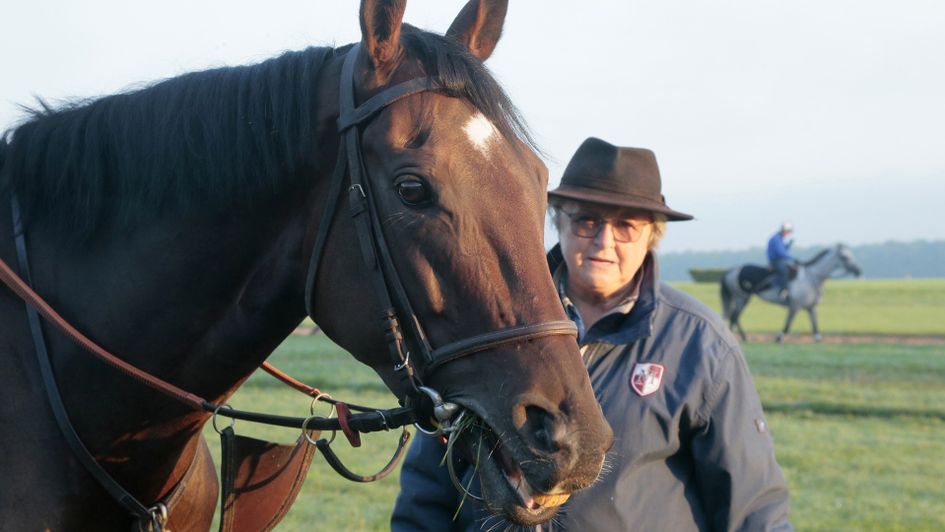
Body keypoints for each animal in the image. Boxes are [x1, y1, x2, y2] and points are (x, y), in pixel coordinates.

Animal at [720, 244, 860, 342]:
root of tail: (731, 270)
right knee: (734, 317)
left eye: (851, 255)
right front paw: (779, 337)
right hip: (741, 297)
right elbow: (788, 324)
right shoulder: (795, 306)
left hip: (743, 298)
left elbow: (815, 326)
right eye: (844, 257)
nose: (858, 271)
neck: (811, 277)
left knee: (735, 317)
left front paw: (817, 339)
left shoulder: (811, 307)